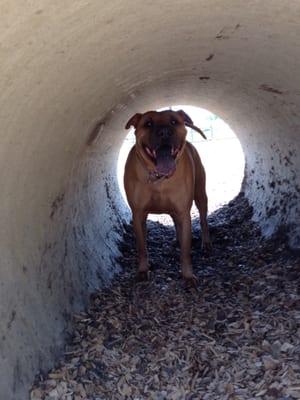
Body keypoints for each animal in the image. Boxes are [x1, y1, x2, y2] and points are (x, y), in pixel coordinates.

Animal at [123, 109, 211, 284]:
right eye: (148, 123)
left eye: (174, 122)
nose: (164, 132)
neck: (159, 178)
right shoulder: (138, 214)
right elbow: (142, 247)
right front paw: (143, 270)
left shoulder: (184, 212)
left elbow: (185, 251)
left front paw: (187, 275)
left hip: (200, 195)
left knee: (203, 220)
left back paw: (206, 243)